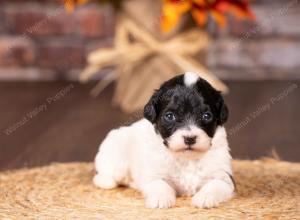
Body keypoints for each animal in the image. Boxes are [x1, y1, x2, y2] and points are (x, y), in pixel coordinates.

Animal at [94, 73, 234, 209]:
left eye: (206, 116)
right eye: (170, 116)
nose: (189, 139)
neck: (186, 159)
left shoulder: (224, 176)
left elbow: (216, 185)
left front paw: (205, 197)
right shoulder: (154, 175)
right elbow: (160, 184)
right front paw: (161, 199)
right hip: (114, 149)